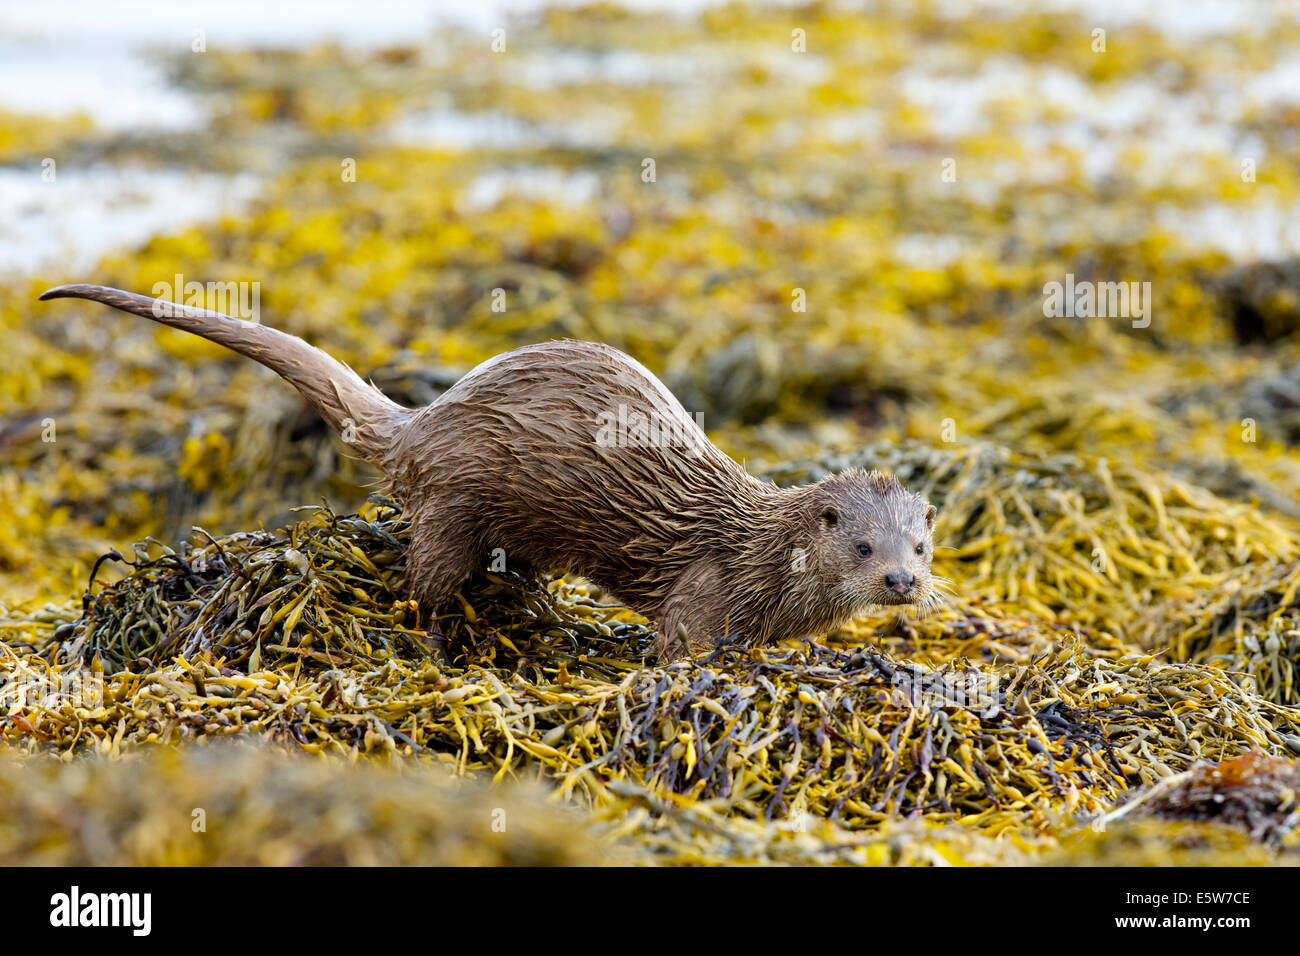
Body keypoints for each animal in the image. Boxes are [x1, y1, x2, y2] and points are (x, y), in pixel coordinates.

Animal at [38, 284, 940, 660]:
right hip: (454, 501)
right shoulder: (708, 592)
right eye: (863, 547)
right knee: (425, 584)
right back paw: (440, 645)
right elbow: (680, 648)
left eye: (920, 548)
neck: (761, 559)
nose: (901, 582)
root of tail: (423, 425)